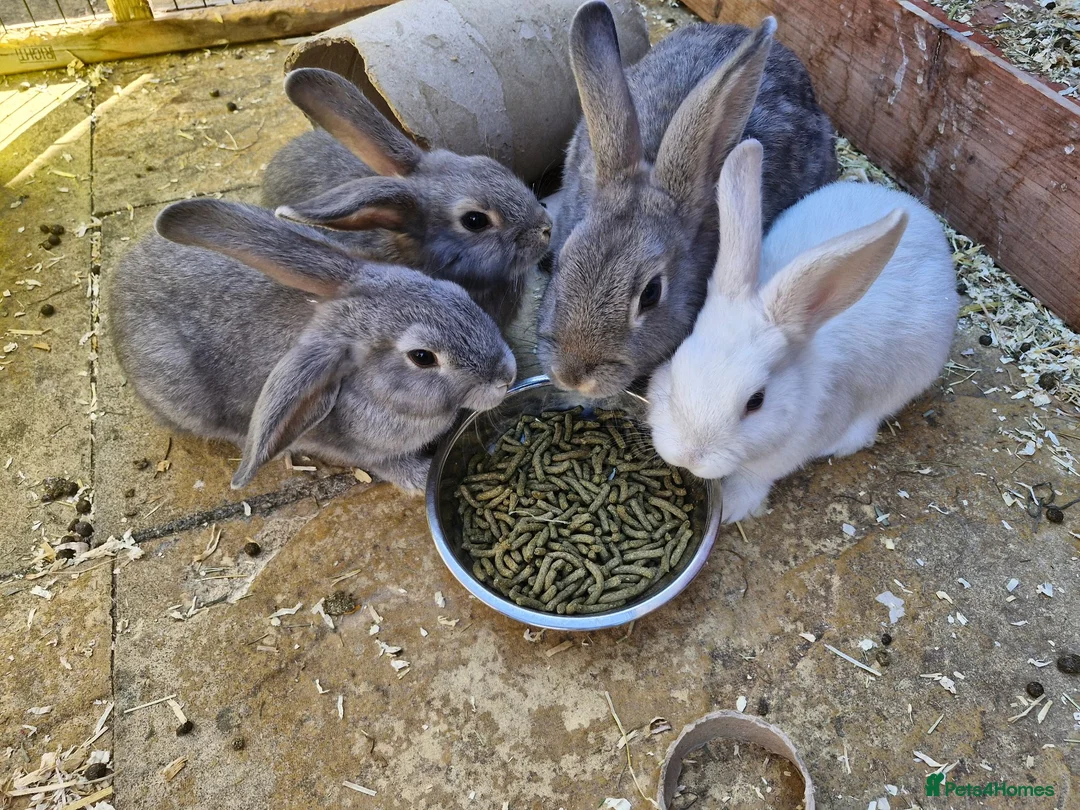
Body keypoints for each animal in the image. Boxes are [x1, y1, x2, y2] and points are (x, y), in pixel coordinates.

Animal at [108, 198, 517, 494]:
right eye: (422, 357)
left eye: (456, 291)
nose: (507, 376)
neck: (372, 392)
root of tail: (116, 292)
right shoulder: (365, 450)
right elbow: (389, 465)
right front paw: (423, 475)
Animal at [647, 139, 959, 524]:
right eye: (676, 368)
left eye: (756, 401)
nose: (689, 455)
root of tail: (924, 218)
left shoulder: (780, 458)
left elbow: (754, 481)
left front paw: (732, 507)